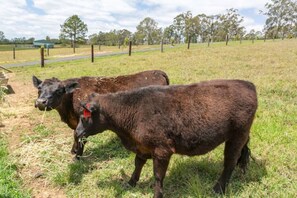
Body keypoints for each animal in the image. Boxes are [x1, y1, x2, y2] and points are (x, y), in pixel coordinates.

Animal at [32, 70, 169, 159]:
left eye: (59, 91)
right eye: (39, 88)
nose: (41, 102)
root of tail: (157, 71)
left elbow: (80, 137)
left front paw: (78, 156)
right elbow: (75, 135)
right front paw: (73, 150)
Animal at [74, 79, 256, 196]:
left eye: (84, 117)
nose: (77, 133)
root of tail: (247, 84)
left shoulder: (162, 150)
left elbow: (158, 175)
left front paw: (157, 194)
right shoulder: (142, 147)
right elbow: (138, 164)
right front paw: (131, 182)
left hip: (237, 136)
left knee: (230, 162)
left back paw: (218, 189)